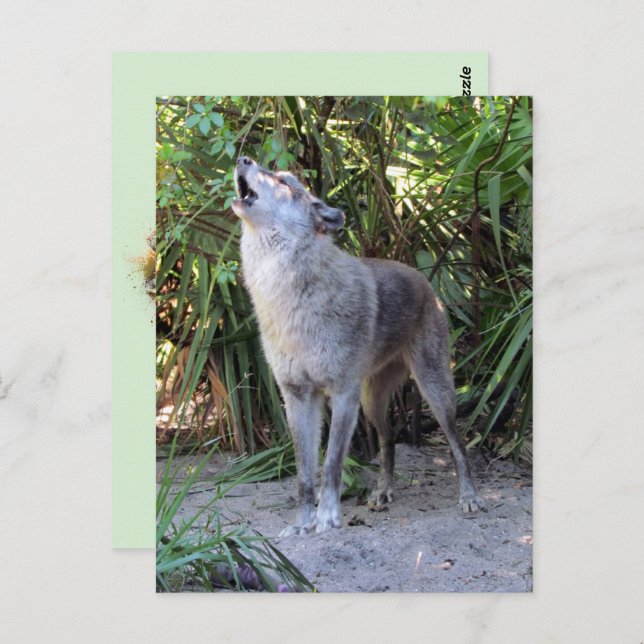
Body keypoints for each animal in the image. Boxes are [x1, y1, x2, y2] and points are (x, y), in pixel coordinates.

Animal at [231, 156, 485, 536]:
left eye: (284, 182)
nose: (243, 158)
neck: (288, 297)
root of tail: (423, 278)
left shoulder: (342, 394)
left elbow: (331, 465)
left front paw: (327, 519)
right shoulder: (298, 396)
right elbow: (304, 475)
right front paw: (302, 524)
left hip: (434, 393)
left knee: (457, 442)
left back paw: (469, 496)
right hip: (372, 402)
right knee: (388, 438)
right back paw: (382, 493)